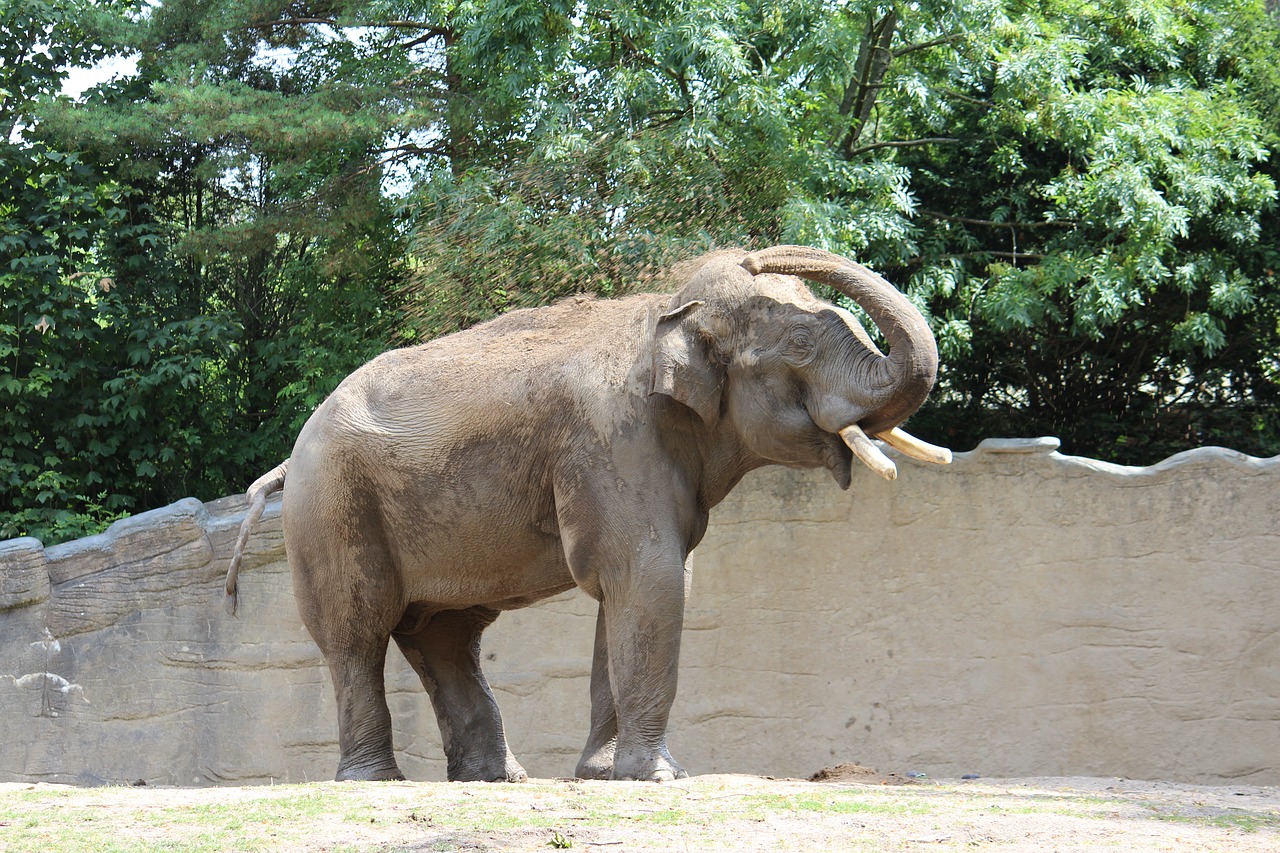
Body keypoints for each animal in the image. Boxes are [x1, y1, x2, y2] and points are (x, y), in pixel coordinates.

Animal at [227, 242, 952, 778]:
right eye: (801, 340)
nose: (758, 252)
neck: (665, 311)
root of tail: (293, 454)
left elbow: (637, 590)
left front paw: (605, 774)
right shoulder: (615, 441)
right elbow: (650, 579)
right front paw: (660, 777)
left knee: (446, 635)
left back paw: (497, 781)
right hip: (332, 508)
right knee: (359, 631)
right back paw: (378, 780)